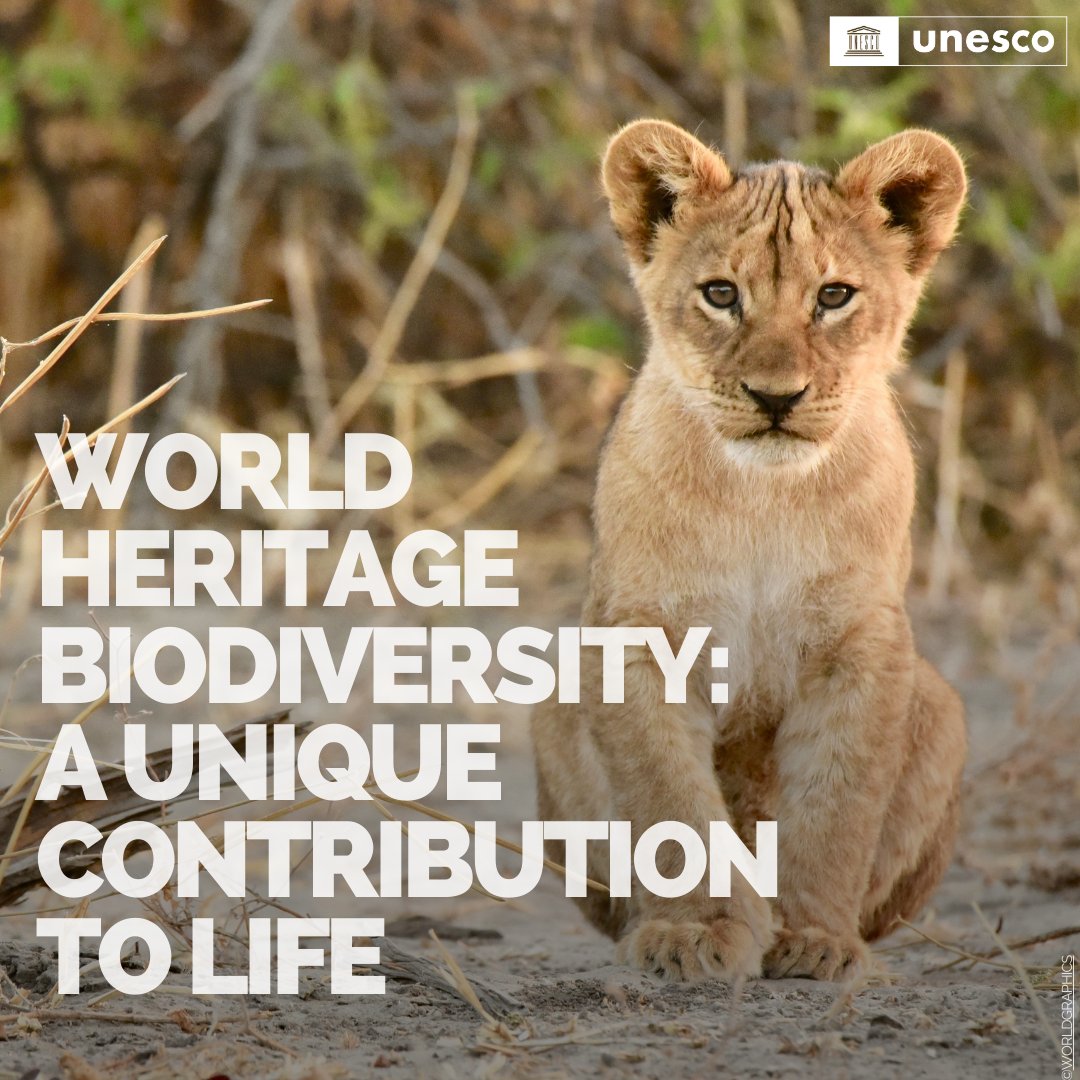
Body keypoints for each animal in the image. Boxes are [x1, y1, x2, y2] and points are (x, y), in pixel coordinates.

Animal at [531, 120, 968, 982]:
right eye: (721, 295)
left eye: (833, 296)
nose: (776, 398)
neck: (764, 499)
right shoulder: (636, 633)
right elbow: (669, 803)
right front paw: (692, 932)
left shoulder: (863, 643)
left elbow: (836, 806)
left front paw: (814, 940)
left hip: (943, 706)